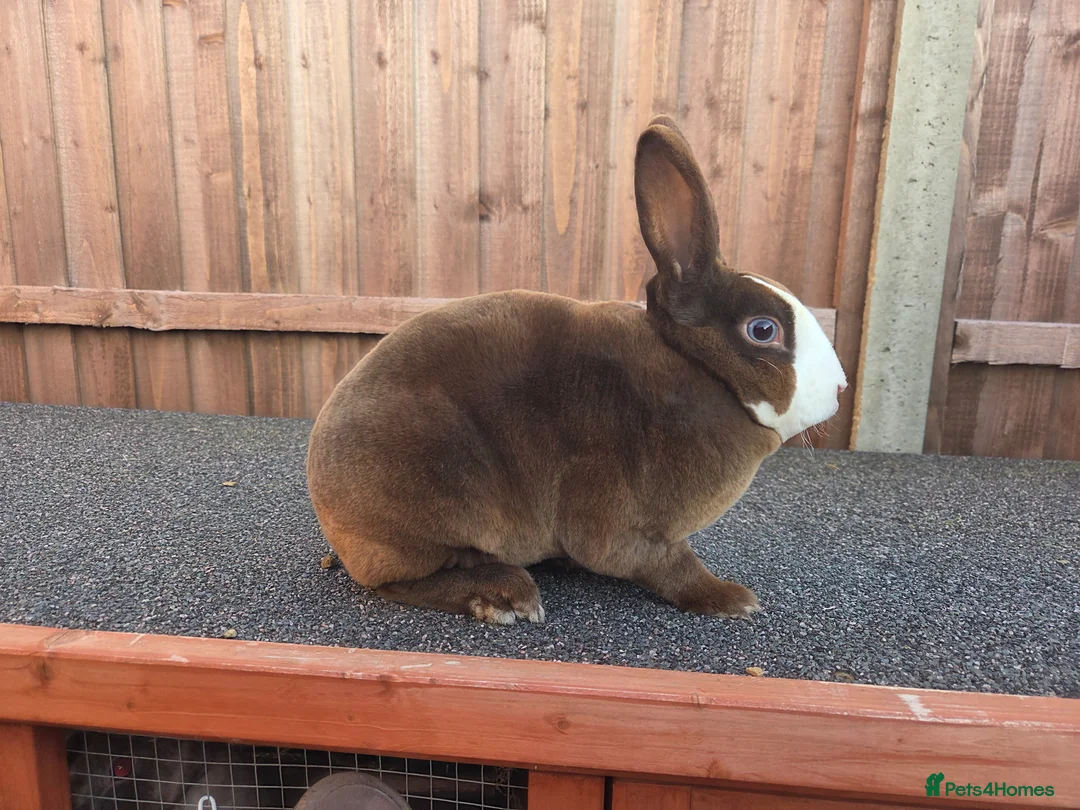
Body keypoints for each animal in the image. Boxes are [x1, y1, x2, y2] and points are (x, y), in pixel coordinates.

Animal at [307, 115, 847, 624]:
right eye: (763, 330)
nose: (841, 387)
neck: (700, 374)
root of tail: (322, 493)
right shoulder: (628, 527)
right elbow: (672, 566)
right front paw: (730, 599)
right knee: (399, 582)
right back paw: (505, 596)